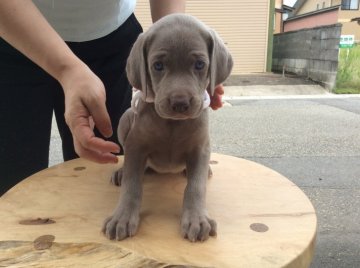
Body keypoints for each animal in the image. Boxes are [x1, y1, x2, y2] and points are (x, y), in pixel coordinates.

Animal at [102, 13, 232, 242]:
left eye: (200, 65)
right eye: (158, 66)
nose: (180, 103)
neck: (173, 124)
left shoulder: (200, 147)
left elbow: (195, 187)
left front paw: (197, 219)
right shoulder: (136, 145)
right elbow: (131, 185)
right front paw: (122, 217)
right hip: (126, 119)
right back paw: (121, 172)